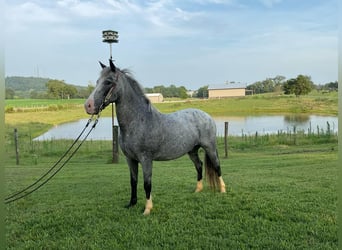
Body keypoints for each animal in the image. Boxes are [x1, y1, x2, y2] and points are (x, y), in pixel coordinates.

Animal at [84, 60, 226, 215]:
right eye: (97, 81)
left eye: (108, 82)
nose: (88, 106)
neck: (139, 121)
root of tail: (206, 115)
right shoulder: (130, 159)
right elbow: (133, 181)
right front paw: (132, 204)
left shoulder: (146, 159)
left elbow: (147, 183)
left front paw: (147, 209)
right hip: (192, 150)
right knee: (199, 166)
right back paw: (197, 190)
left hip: (209, 147)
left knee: (217, 166)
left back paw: (222, 190)